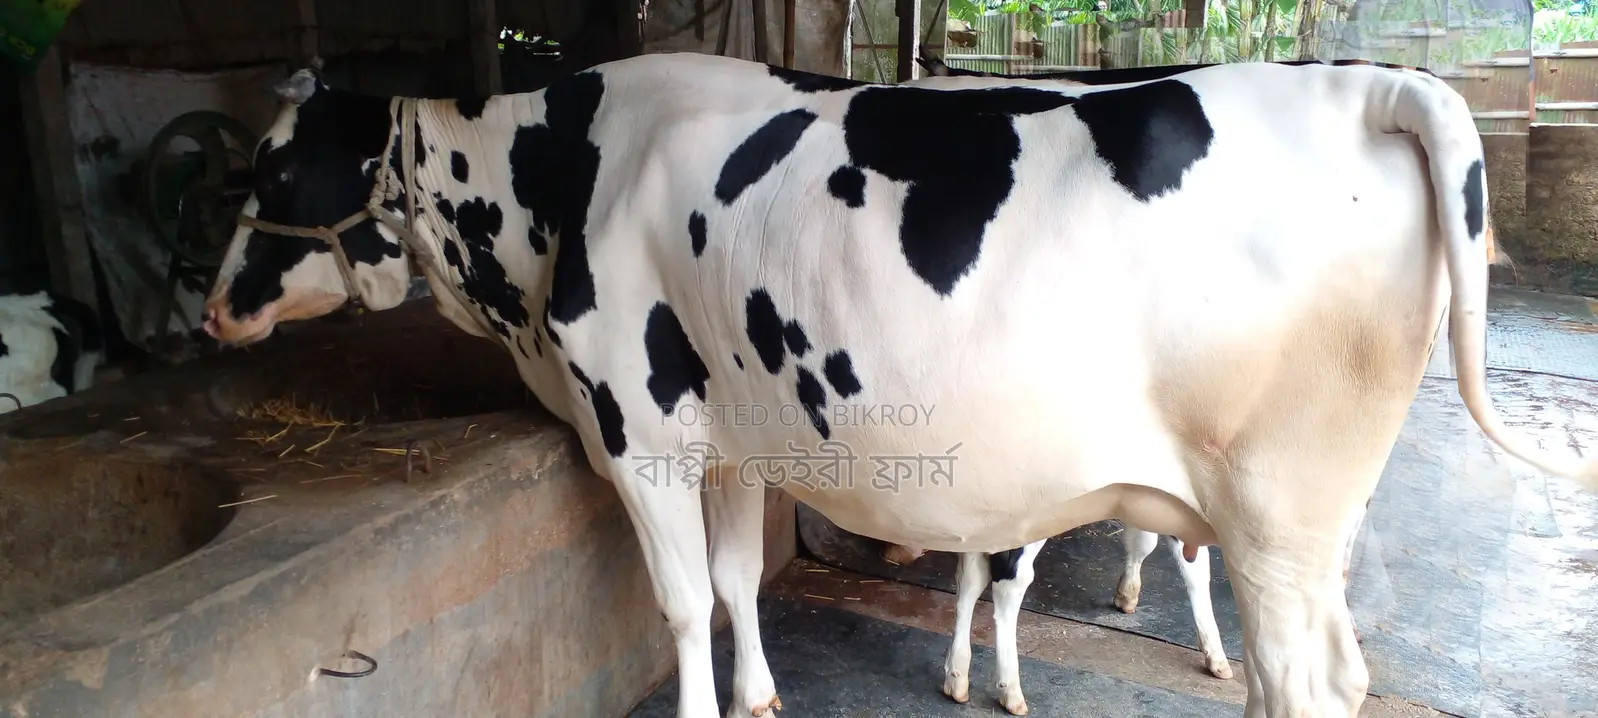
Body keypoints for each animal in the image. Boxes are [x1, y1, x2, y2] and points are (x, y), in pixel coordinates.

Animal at [199, 51, 1598, 718]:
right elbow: (734, 581)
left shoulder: (636, 430)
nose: (212, 309)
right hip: (1311, 526)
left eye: (274, 174)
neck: (565, 173)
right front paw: (761, 695)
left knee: (1298, 684)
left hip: (1273, 513)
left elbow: (678, 605)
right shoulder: (734, 439)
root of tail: (1369, 81)